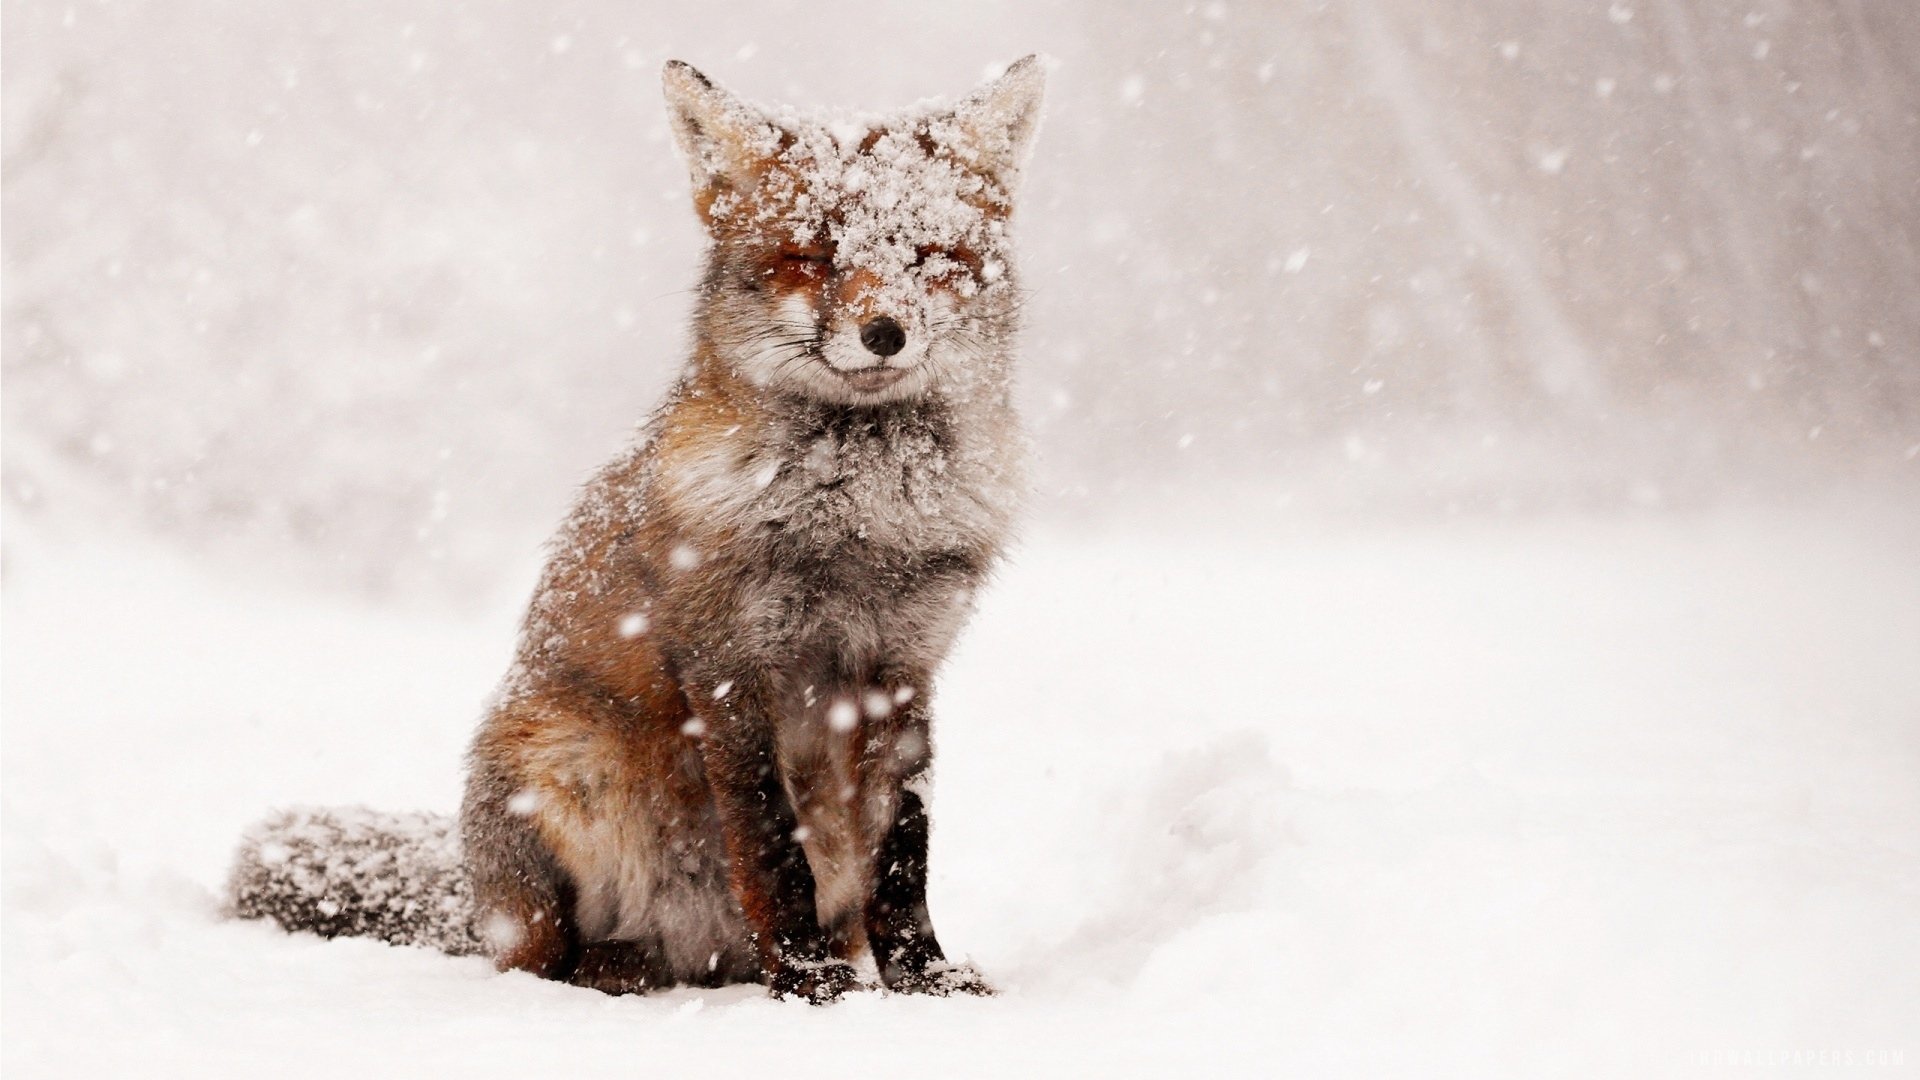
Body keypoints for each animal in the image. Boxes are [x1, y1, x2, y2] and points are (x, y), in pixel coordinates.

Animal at [227, 56, 1045, 1003]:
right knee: (544, 959)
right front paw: (810, 985)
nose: (885, 332)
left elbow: (903, 850)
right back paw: (622, 971)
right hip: (560, 769)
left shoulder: (905, 668)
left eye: (928, 257)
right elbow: (770, 845)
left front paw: (924, 979)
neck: (857, 527)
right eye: (810, 258)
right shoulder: (729, 664)